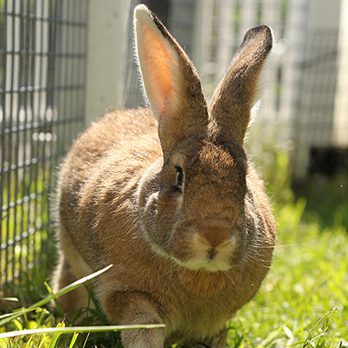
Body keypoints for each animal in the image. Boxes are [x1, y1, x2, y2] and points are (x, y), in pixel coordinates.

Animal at [53, 3, 278, 348]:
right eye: (178, 178)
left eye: (244, 182)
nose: (215, 235)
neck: (197, 272)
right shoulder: (127, 290)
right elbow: (144, 326)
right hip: (70, 245)